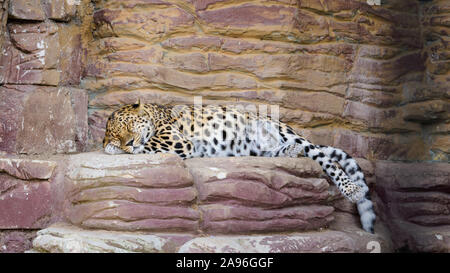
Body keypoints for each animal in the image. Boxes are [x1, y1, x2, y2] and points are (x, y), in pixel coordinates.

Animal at [103, 100, 376, 232]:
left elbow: (146, 146)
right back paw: (290, 152)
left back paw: (353, 190)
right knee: (276, 152)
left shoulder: (176, 141)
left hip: (287, 133)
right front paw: (112, 148)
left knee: (328, 159)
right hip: (257, 147)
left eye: (129, 126)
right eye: (116, 134)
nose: (127, 142)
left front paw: (119, 149)